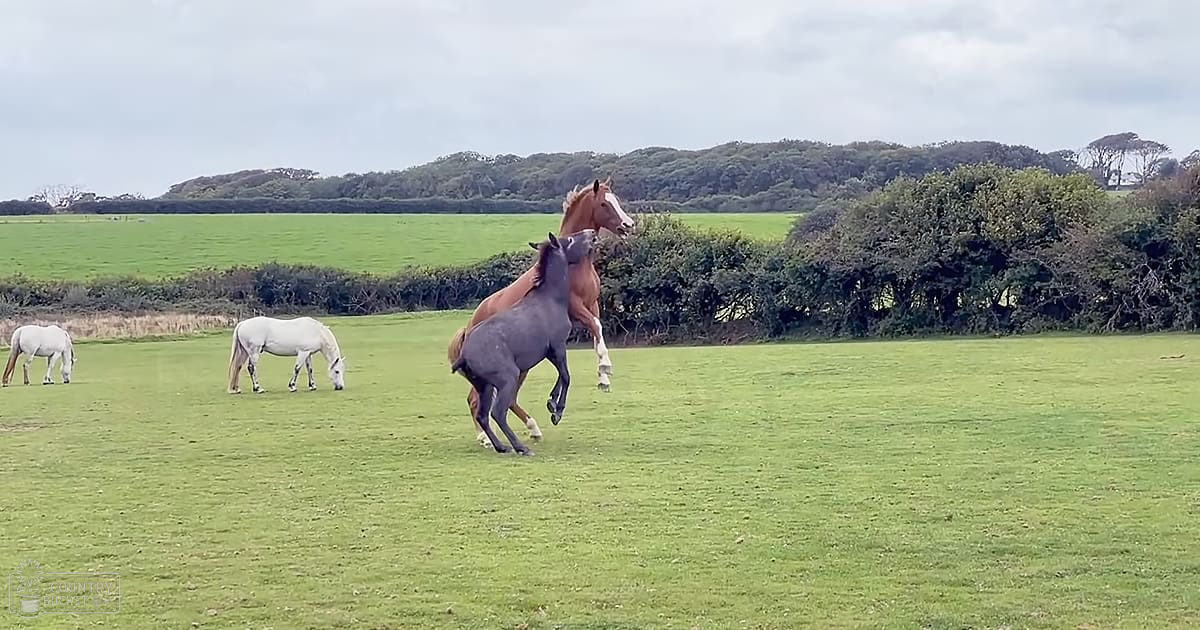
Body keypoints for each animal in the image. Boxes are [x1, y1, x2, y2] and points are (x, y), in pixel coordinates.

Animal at [451, 229, 597, 456]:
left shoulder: (549, 352)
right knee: (498, 412)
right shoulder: (557, 346)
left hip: (484, 386)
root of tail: (464, 354)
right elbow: (566, 376)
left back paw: (501, 446)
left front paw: (552, 402)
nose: (591, 234)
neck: (550, 298)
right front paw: (557, 412)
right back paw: (521, 447)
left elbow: (560, 376)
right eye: (571, 238)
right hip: (507, 378)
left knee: (482, 415)